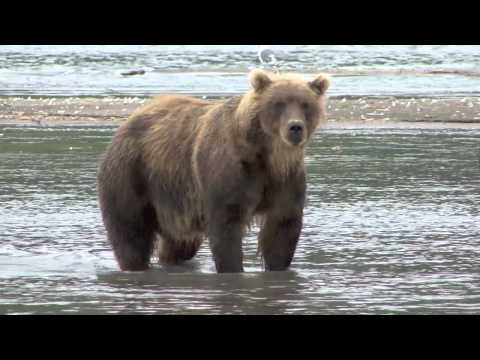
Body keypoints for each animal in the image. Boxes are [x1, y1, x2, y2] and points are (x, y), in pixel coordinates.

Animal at [97, 69, 330, 272]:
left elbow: (282, 227)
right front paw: (233, 269)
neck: (268, 156)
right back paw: (134, 264)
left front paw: (278, 267)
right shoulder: (230, 173)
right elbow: (226, 227)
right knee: (131, 231)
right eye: (278, 103)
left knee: (180, 243)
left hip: (174, 200)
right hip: (133, 173)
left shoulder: (285, 179)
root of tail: (126, 123)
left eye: (305, 104)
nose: (295, 127)